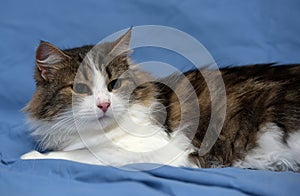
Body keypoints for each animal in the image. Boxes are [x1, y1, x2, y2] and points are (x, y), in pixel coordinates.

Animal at [21, 27, 300, 172]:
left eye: (113, 84)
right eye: (79, 88)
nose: (104, 104)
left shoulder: (153, 149)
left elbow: (76, 156)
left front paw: (29, 157)